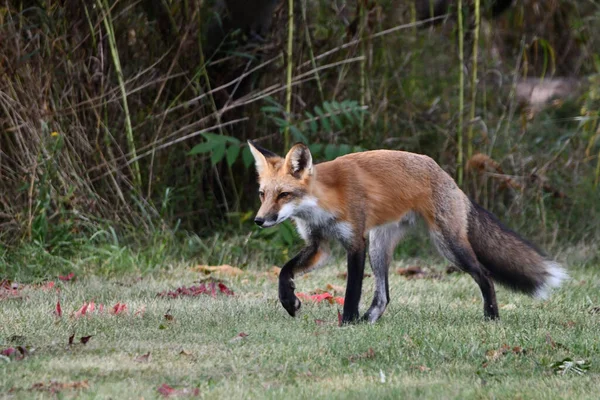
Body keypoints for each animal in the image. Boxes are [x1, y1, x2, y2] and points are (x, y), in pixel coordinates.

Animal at [248, 142, 568, 324]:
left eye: (284, 195)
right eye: (263, 194)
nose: (259, 220)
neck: (323, 202)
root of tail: (447, 176)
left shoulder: (355, 242)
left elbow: (352, 291)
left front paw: (347, 322)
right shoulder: (320, 245)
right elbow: (284, 272)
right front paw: (289, 301)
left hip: (447, 245)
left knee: (485, 275)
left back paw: (492, 317)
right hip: (380, 246)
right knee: (384, 296)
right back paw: (368, 321)